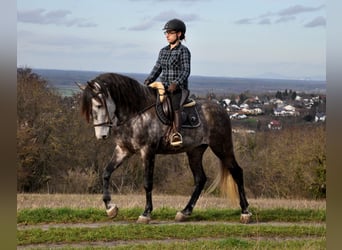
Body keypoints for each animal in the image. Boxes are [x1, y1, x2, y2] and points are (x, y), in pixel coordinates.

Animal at [79, 72, 251, 223]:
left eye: (99, 105)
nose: (101, 135)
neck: (136, 114)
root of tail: (222, 110)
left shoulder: (148, 151)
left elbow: (147, 183)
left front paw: (146, 213)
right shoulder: (123, 150)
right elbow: (106, 173)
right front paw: (110, 208)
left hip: (222, 148)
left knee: (237, 172)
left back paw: (245, 212)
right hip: (195, 151)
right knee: (200, 179)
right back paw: (184, 212)